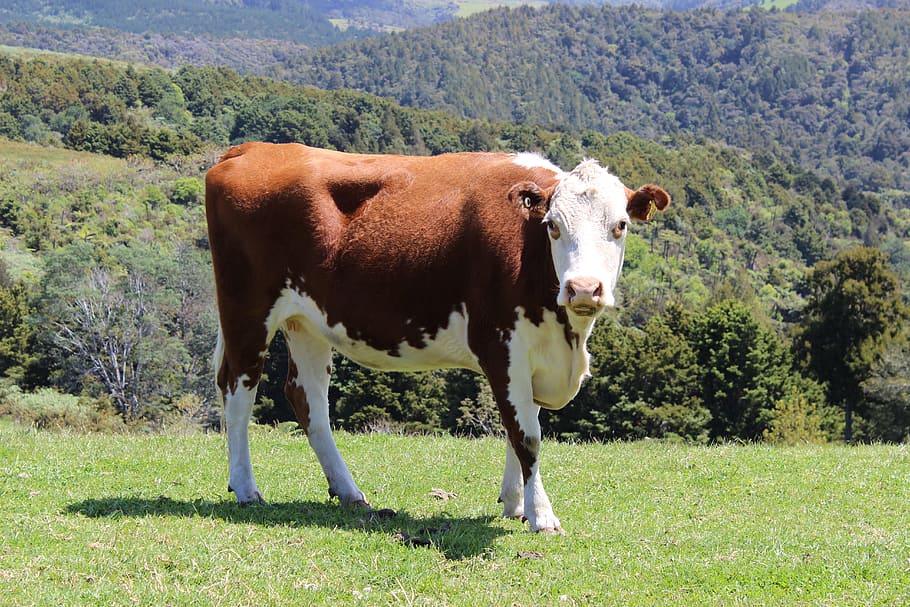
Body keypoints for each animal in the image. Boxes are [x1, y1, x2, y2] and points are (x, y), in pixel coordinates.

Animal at [205, 142, 669, 533]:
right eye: (553, 226)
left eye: (620, 225)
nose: (584, 288)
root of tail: (250, 149)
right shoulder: (500, 345)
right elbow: (527, 435)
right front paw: (541, 516)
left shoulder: (532, 354)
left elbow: (518, 425)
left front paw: (514, 504)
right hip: (247, 311)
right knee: (238, 390)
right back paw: (246, 488)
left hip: (307, 319)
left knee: (308, 399)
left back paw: (350, 493)